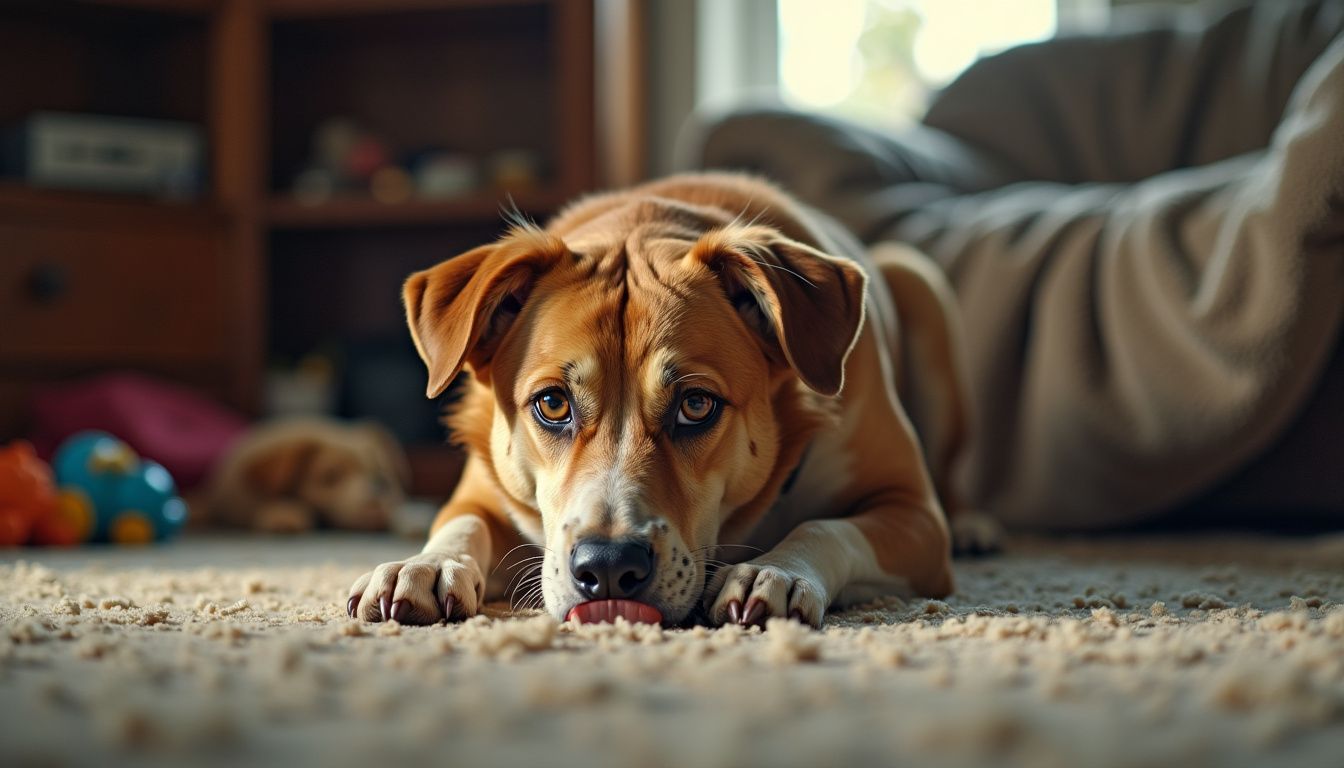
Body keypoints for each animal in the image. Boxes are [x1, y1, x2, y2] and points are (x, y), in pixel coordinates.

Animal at [346, 174, 989, 632]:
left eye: (696, 406)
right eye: (552, 404)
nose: (607, 568)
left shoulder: (913, 515)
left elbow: (827, 527)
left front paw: (773, 573)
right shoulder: (484, 491)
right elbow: (461, 524)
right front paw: (423, 567)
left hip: (920, 283)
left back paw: (975, 526)